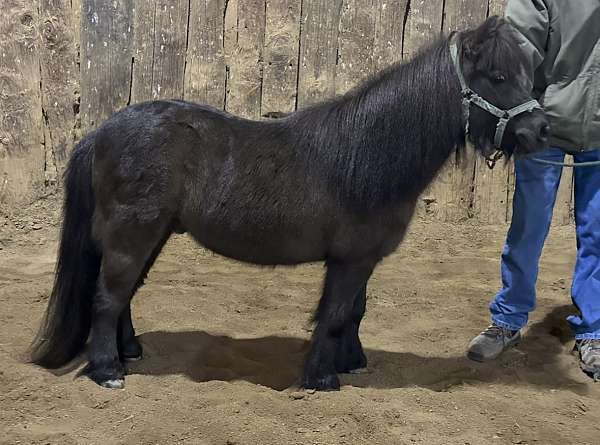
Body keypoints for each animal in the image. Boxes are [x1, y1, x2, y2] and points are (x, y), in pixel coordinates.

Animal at [31, 16, 548, 388]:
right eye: (499, 76)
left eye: (528, 75)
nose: (540, 130)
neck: (368, 153)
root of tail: (101, 131)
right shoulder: (350, 259)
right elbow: (335, 314)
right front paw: (321, 377)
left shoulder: (363, 258)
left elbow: (355, 311)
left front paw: (351, 362)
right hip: (131, 234)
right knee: (107, 297)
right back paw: (108, 372)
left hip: (150, 235)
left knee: (124, 295)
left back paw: (129, 353)